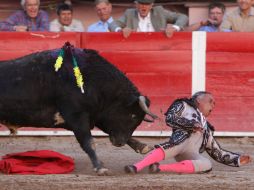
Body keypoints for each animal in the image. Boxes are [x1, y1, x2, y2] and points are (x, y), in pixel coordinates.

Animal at [0, 43, 157, 175]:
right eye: (133, 116)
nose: (119, 143)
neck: (94, 80)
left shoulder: (97, 114)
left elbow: (108, 131)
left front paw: (143, 146)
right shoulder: (77, 116)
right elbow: (88, 141)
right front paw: (100, 167)